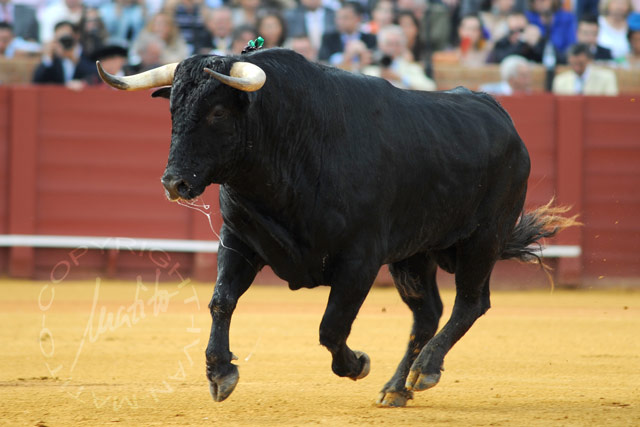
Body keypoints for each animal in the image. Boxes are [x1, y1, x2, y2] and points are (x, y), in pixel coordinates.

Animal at [97, 49, 576, 408]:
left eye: (216, 112)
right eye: (173, 109)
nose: (173, 182)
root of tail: (501, 117)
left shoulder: (359, 261)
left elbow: (331, 326)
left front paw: (357, 363)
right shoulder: (238, 242)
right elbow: (220, 301)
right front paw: (220, 373)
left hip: (482, 240)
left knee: (471, 303)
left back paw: (425, 371)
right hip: (414, 254)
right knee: (428, 313)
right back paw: (396, 388)